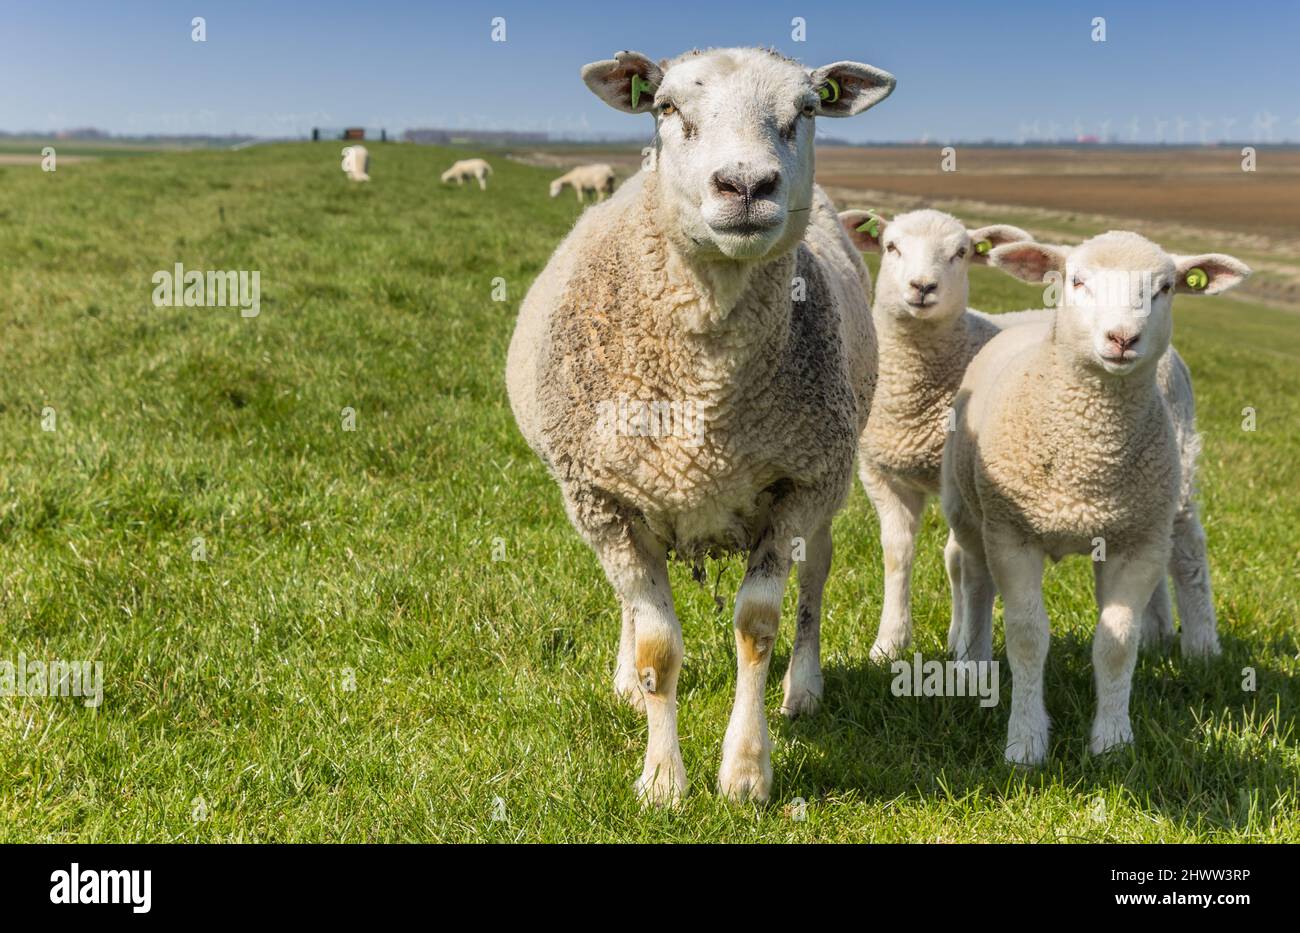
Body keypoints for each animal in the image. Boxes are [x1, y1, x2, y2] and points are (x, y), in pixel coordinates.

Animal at [506, 47, 896, 804]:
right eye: (666, 108)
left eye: (807, 109)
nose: (745, 184)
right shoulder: (602, 496)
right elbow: (657, 642)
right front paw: (662, 779)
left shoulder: (798, 484)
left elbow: (758, 626)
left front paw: (745, 772)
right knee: (630, 601)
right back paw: (627, 682)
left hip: (831, 477)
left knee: (818, 573)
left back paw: (804, 687)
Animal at [939, 231, 1248, 765]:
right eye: (1078, 281)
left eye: (1165, 287)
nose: (1122, 339)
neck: (1090, 463)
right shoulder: (1013, 536)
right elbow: (1027, 637)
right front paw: (1025, 742)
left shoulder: (1137, 542)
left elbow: (1116, 642)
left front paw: (1113, 741)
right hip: (969, 508)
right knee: (976, 580)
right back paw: (973, 665)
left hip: (1168, 490)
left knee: (1185, 555)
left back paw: (1193, 648)